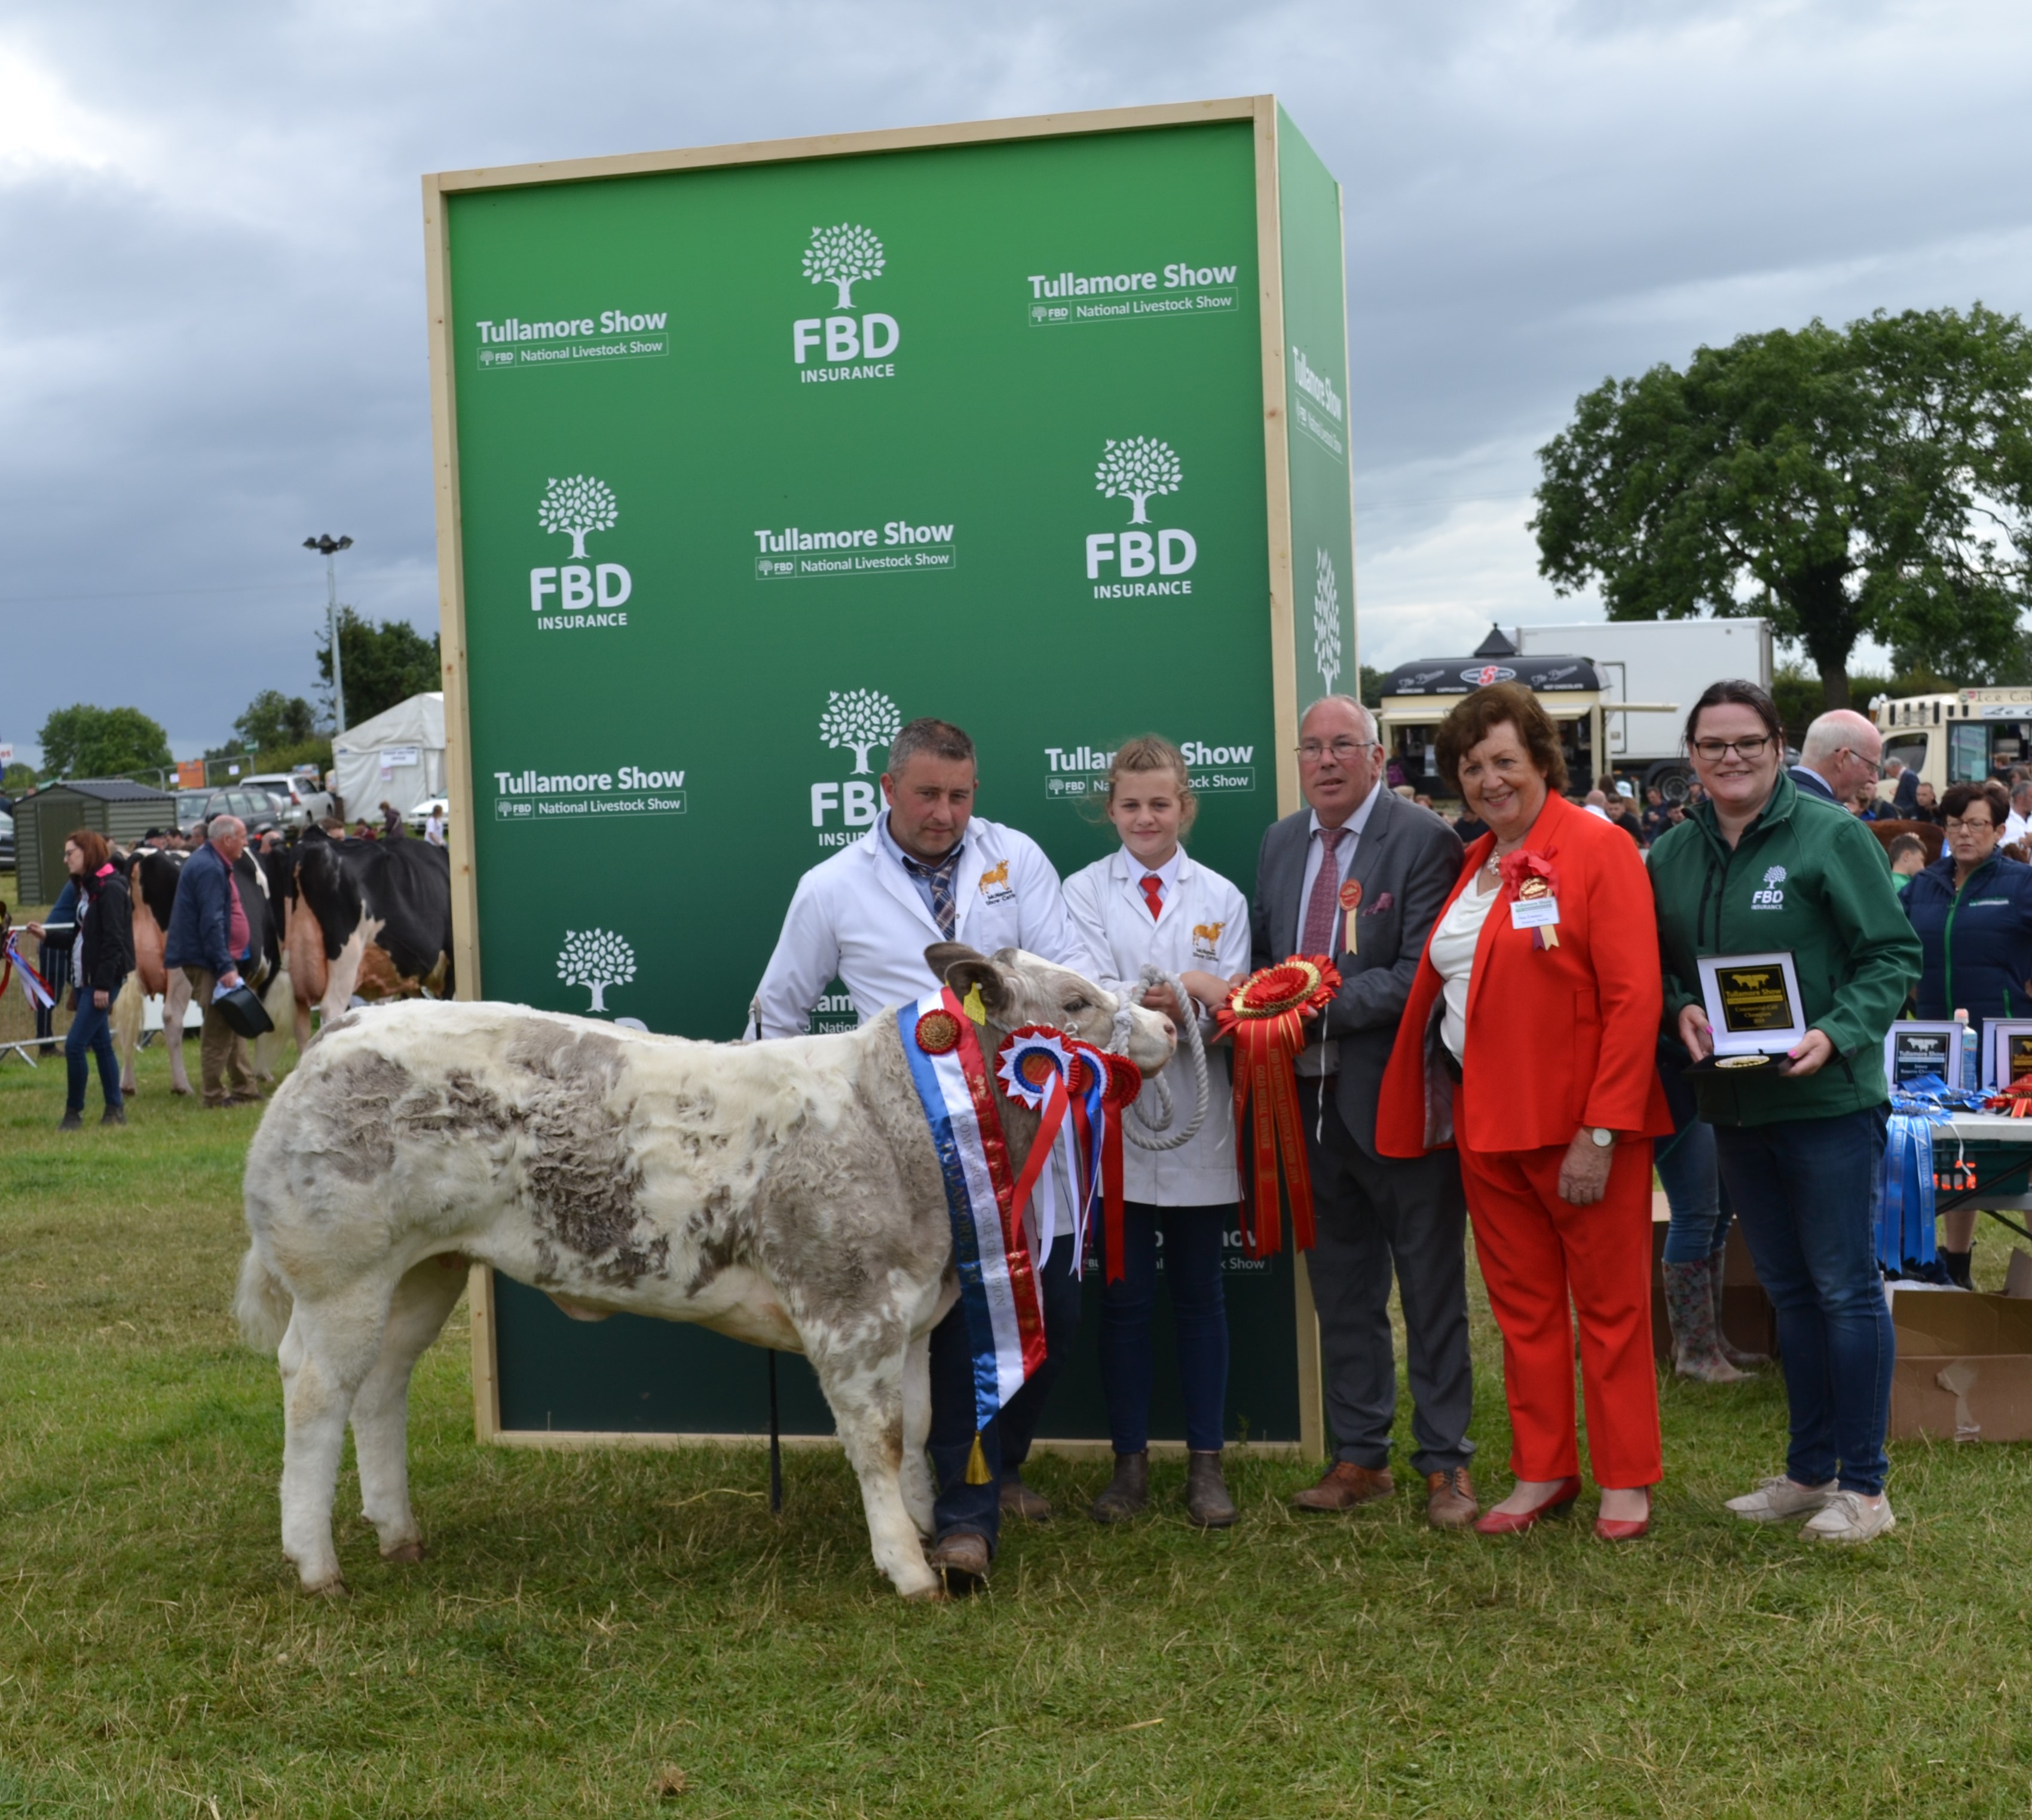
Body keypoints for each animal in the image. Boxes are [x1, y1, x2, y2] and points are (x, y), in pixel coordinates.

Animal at [233, 944, 1175, 1600]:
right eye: (1077, 1000)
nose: (1168, 1024)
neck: (901, 1118)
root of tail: (349, 1026)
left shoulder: (908, 1313)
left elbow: (914, 1427)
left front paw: (920, 1529)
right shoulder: (849, 1308)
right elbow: (876, 1436)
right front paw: (908, 1570)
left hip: (425, 1268)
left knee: (381, 1386)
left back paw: (399, 1533)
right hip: (341, 1274)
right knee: (314, 1392)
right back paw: (316, 1565)